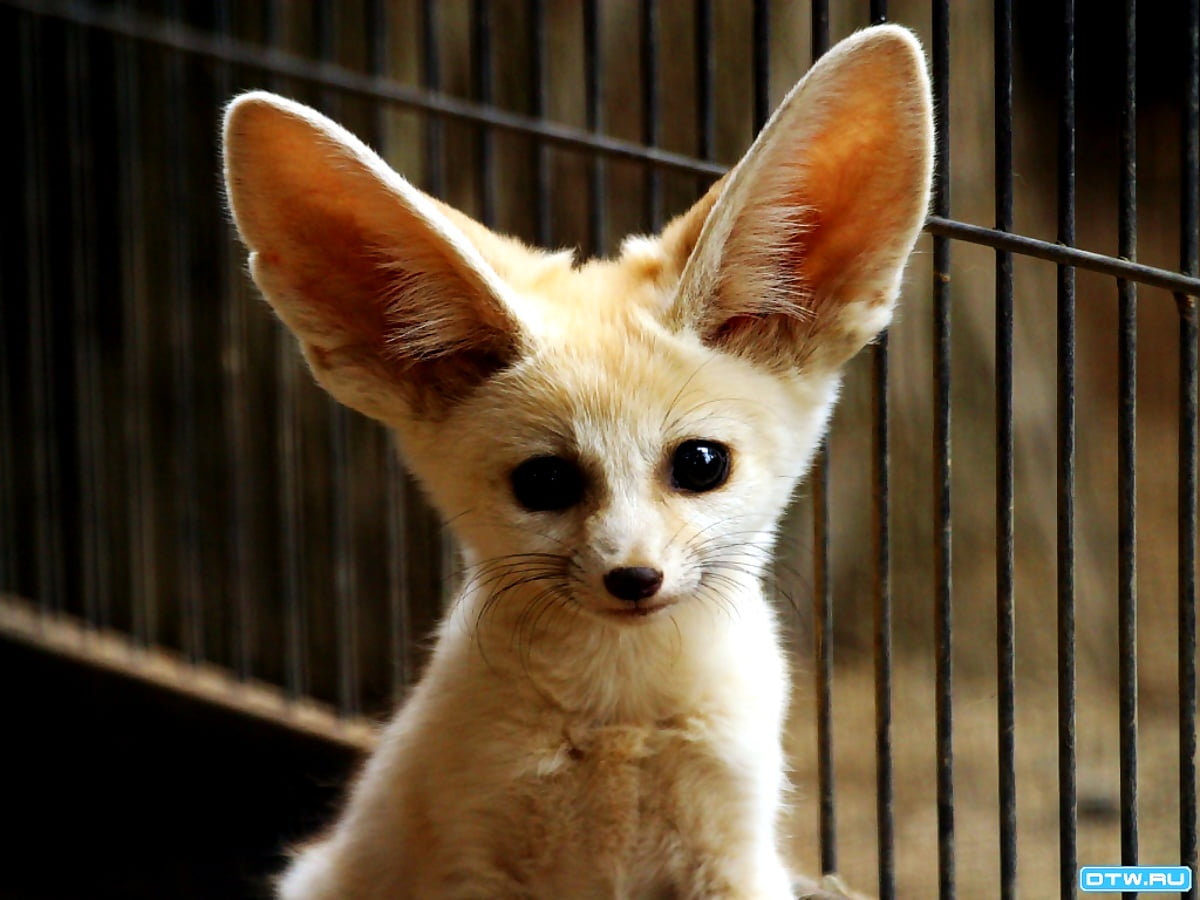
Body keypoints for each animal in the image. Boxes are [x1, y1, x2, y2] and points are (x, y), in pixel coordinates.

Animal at [222, 23, 932, 900]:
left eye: (702, 464)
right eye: (545, 481)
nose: (634, 577)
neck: (621, 718)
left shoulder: (733, 848)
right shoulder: (474, 853)